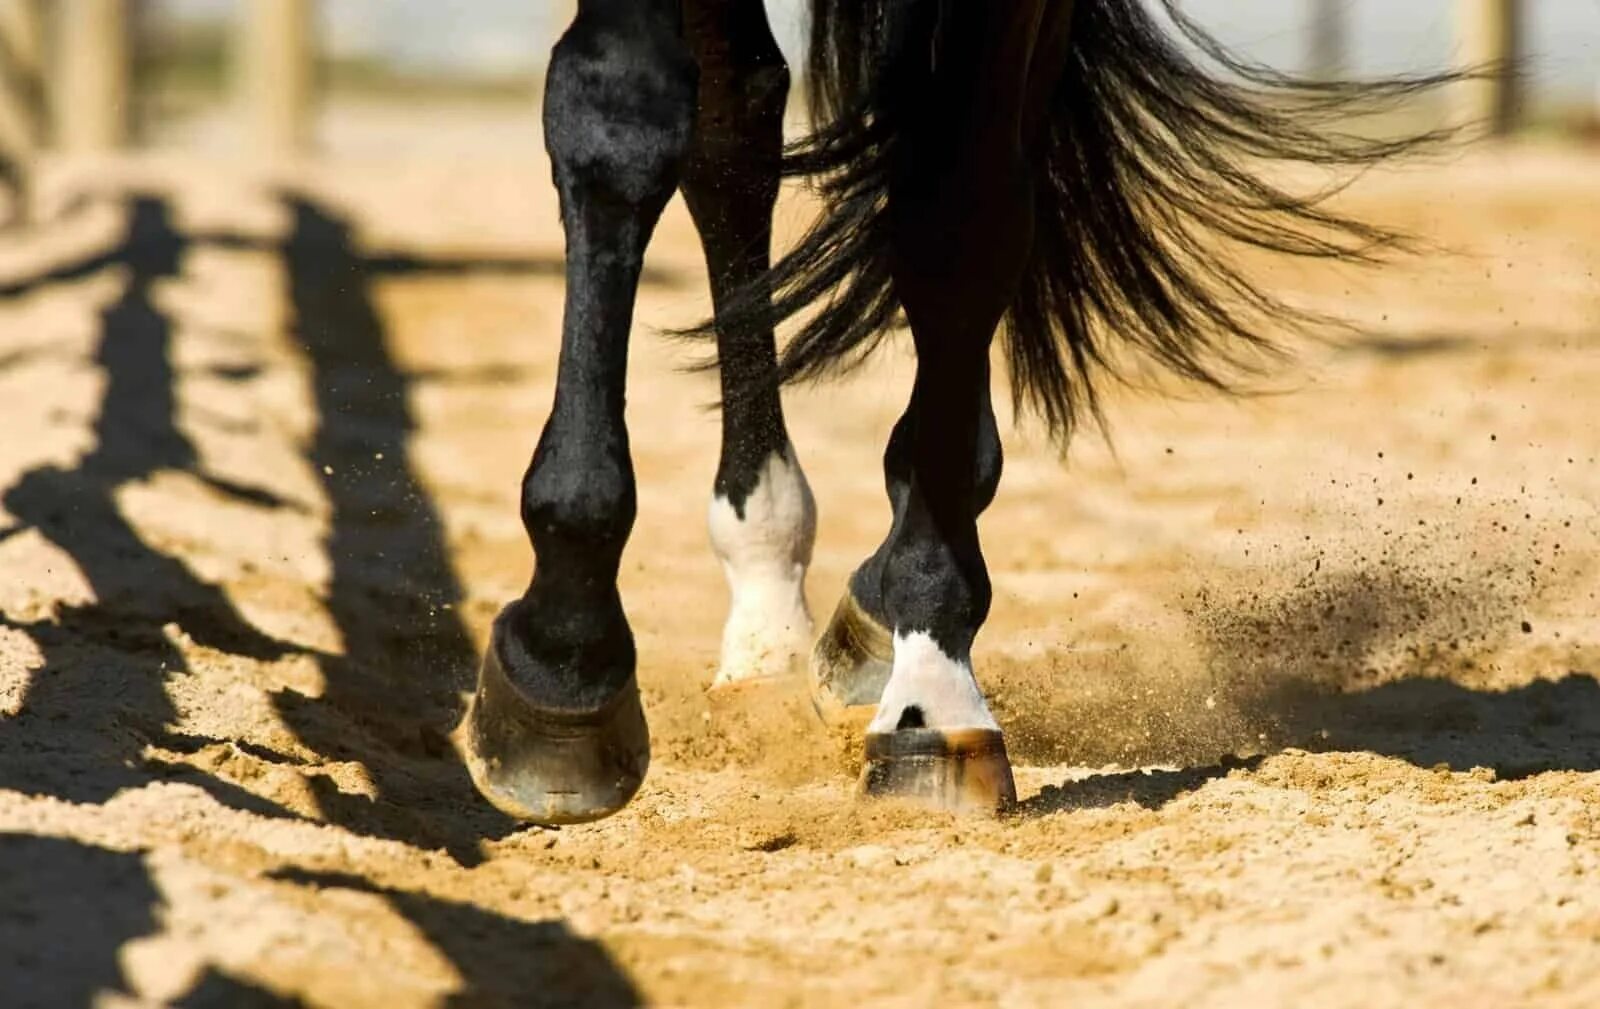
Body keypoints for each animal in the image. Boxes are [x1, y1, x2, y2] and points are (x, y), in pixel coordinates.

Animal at [460, 0, 1465, 825]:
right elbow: (619, 113)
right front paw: (565, 655)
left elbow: (958, 212)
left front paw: (929, 689)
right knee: (730, 124)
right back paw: (761, 603)